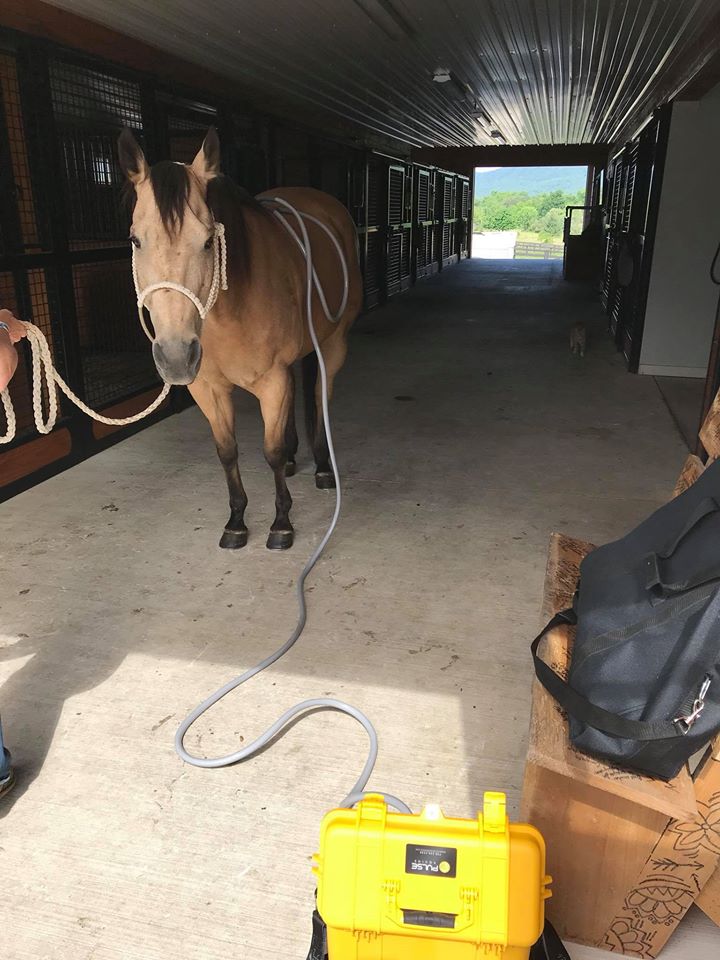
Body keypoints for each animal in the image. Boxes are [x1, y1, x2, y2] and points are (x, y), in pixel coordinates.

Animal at [121, 127, 366, 548]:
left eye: (207, 241)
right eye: (137, 240)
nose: (175, 357)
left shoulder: (272, 381)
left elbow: (270, 451)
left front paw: (281, 523)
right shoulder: (207, 388)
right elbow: (227, 451)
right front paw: (236, 521)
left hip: (333, 346)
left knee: (321, 397)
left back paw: (322, 466)